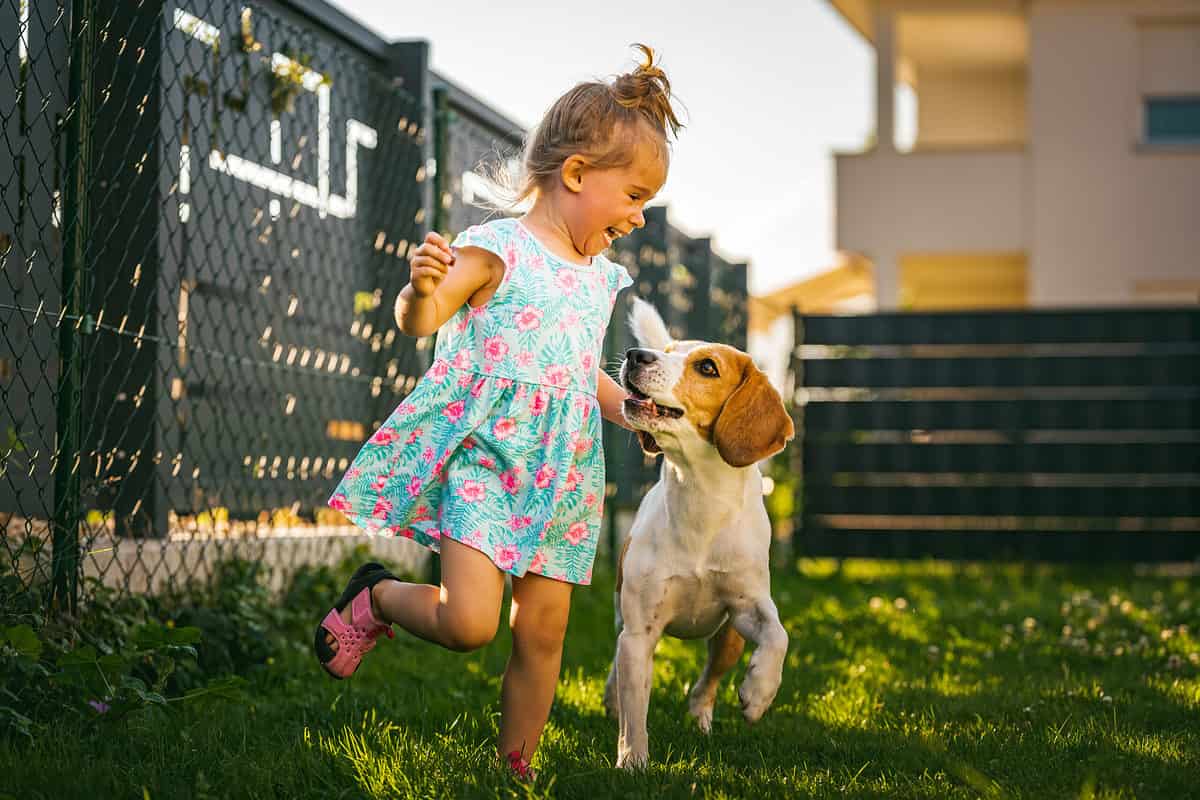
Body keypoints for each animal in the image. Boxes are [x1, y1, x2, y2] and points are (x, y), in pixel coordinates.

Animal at [604, 298, 792, 767]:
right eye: (667, 350)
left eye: (707, 368)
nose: (636, 355)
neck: (701, 500)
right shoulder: (639, 633)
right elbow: (635, 712)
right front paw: (632, 762)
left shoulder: (749, 606)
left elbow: (779, 635)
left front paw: (760, 693)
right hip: (623, 619)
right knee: (619, 665)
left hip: (729, 639)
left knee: (706, 682)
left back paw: (704, 717)